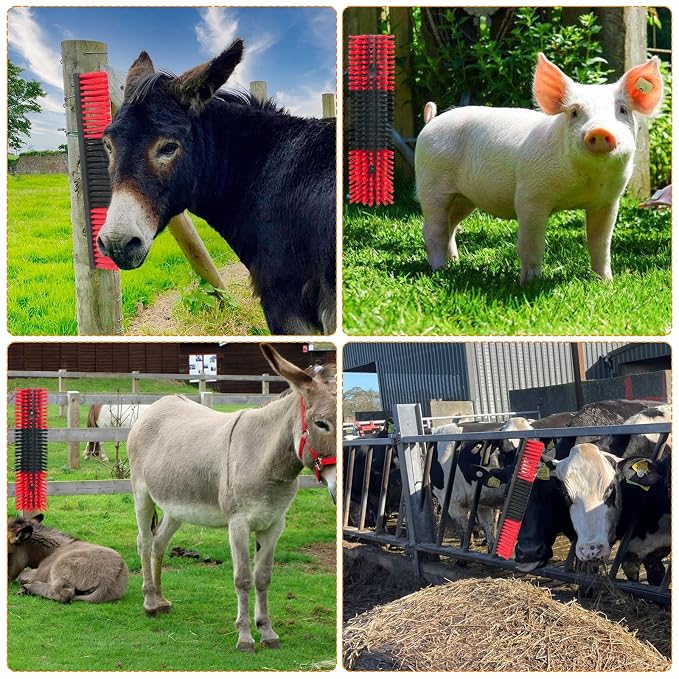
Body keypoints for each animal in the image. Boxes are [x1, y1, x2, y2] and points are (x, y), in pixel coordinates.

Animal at [126, 344, 336, 651]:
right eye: (321, 424)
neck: (264, 459)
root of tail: (158, 404)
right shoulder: (238, 524)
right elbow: (243, 579)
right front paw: (245, 637)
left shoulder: (274, 524)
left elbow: (263, 577)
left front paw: (267, 632)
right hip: (142, 494)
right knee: (143, 541)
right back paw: (150, 602)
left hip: (176, 507)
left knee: (158, 542)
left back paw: (161, 600)